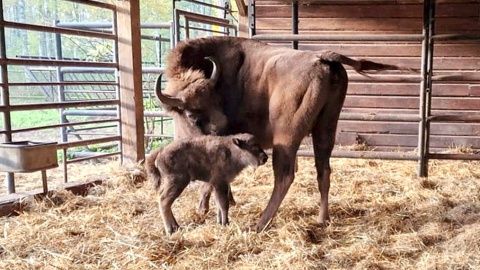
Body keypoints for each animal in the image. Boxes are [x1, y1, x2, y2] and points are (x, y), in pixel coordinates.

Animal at [156, 35, 410, 230]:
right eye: (194, 114)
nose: (219, 130)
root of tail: (323, 57)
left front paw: (204, 207)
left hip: (286, 137)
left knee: (285, 176)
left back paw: (260, 223)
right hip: (326, 128)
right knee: (324, 171)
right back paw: (322, 219)